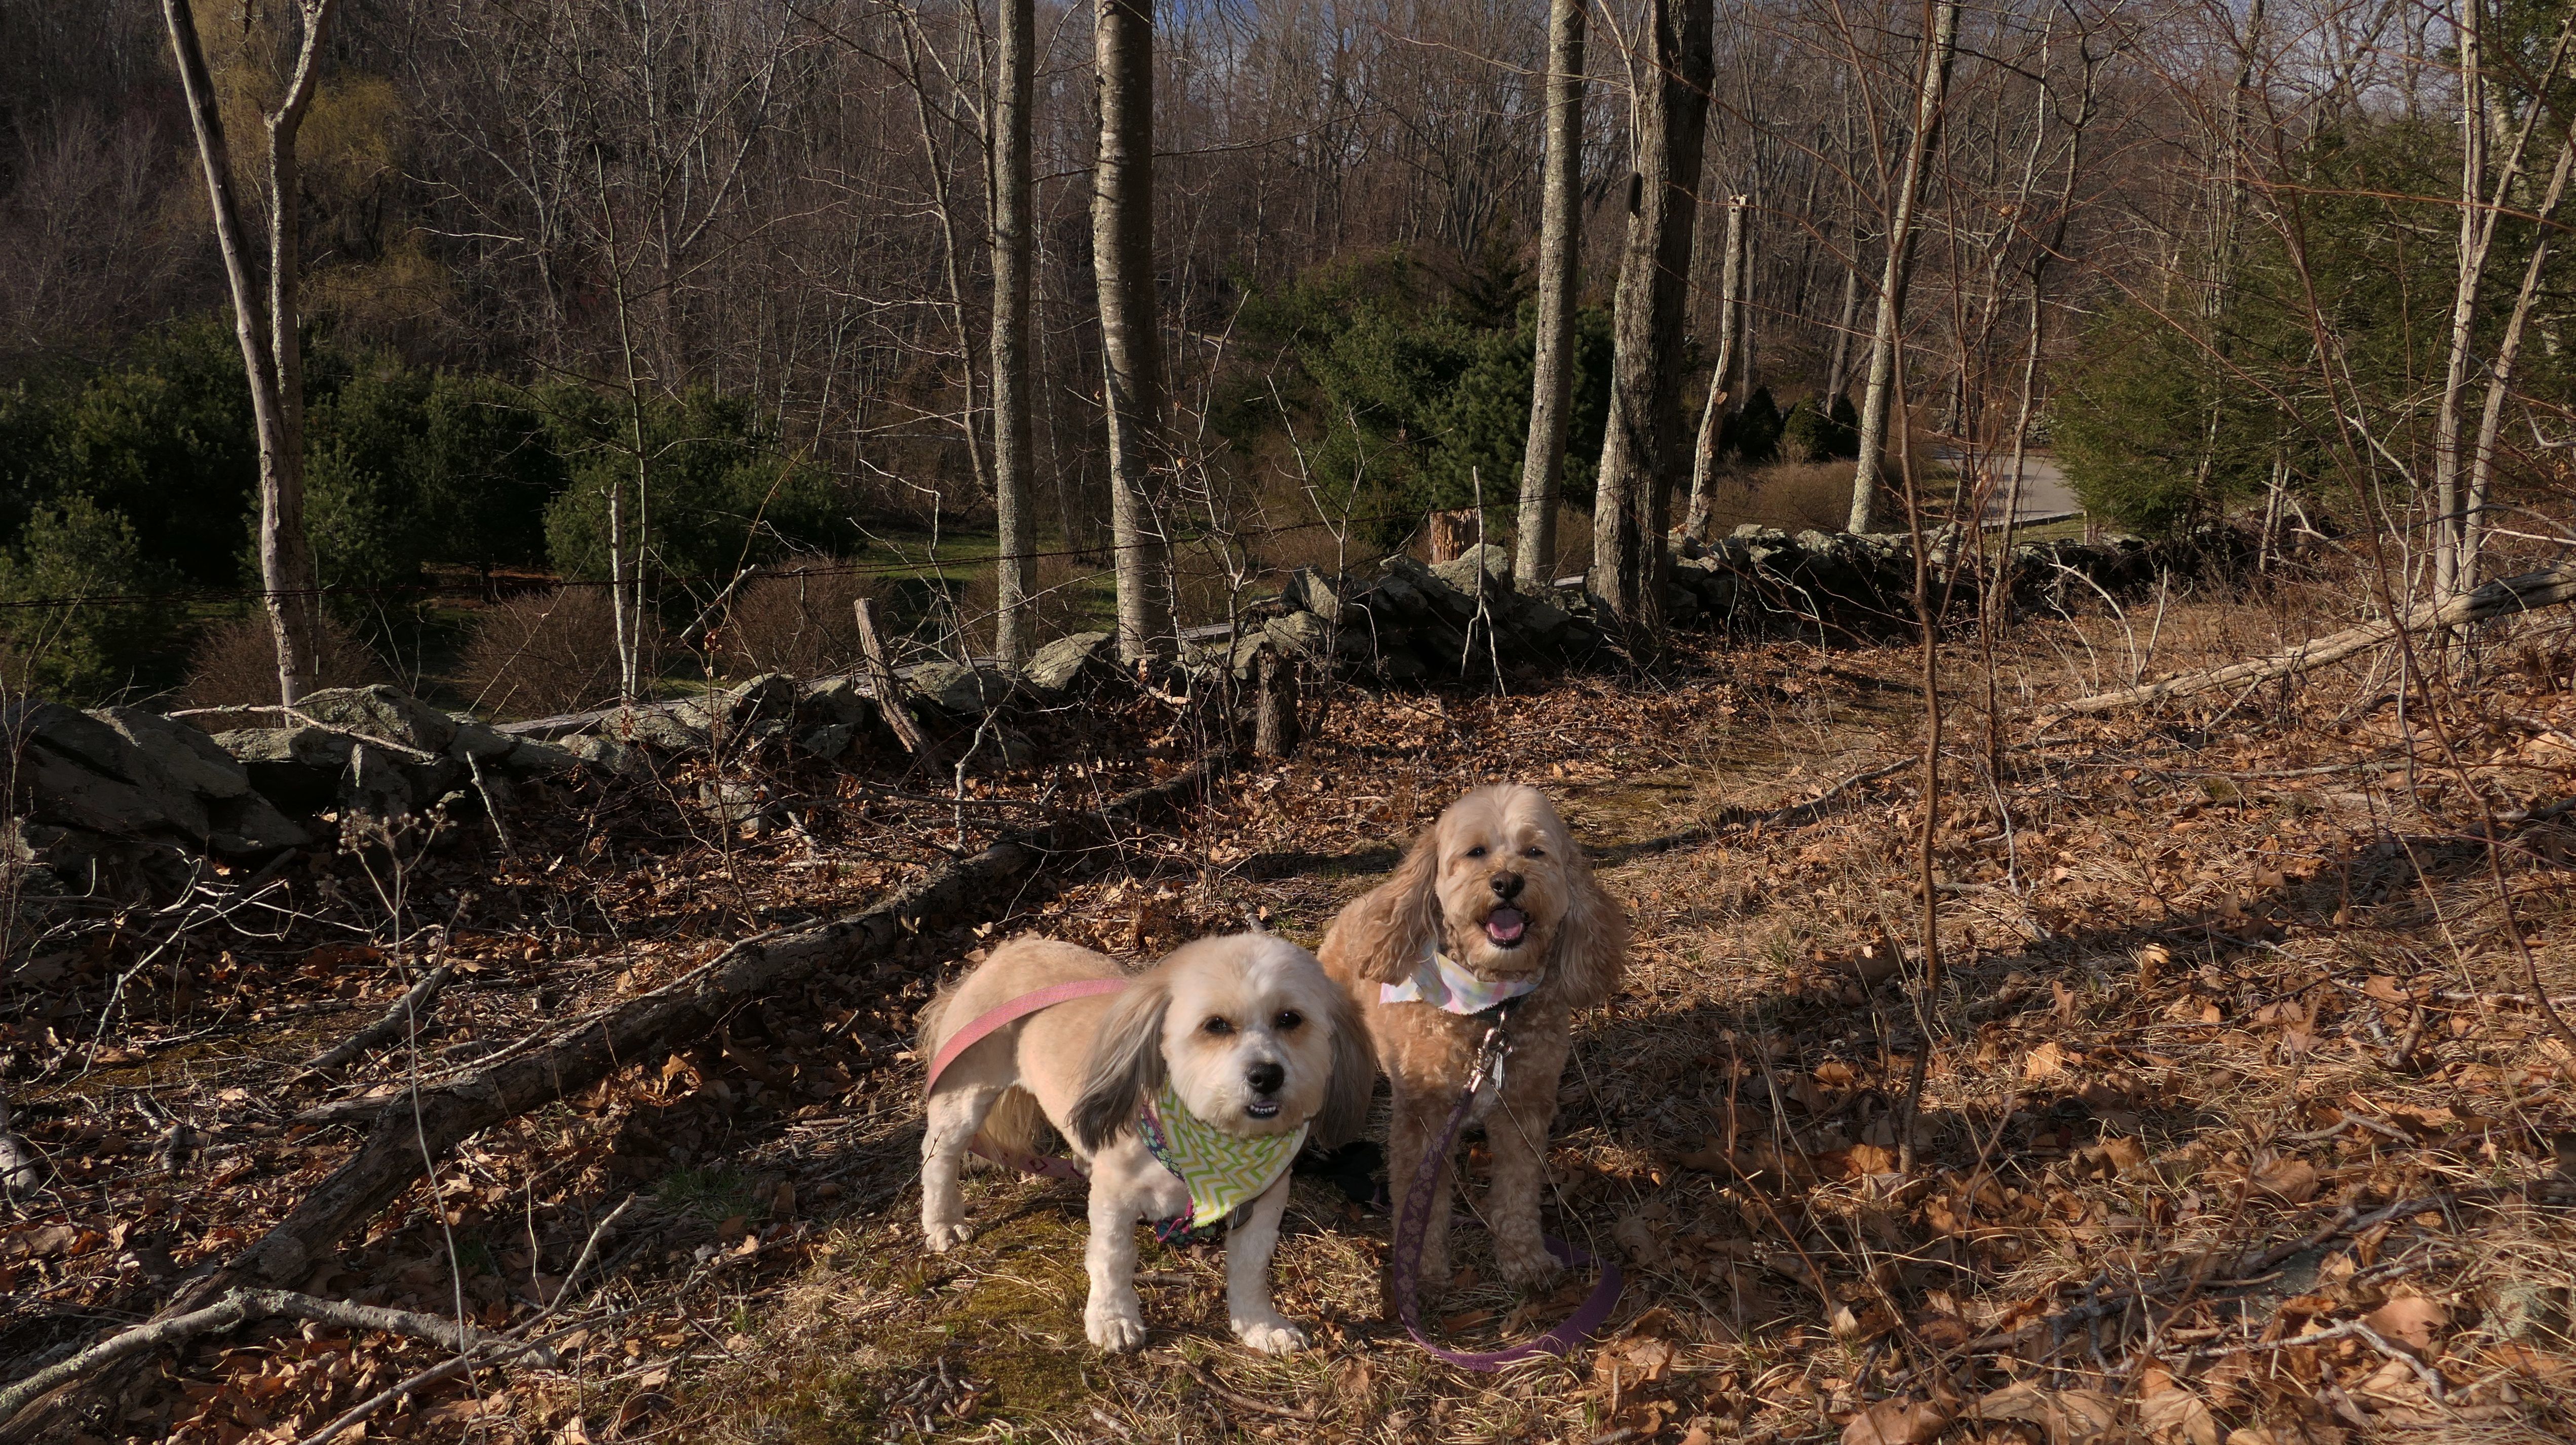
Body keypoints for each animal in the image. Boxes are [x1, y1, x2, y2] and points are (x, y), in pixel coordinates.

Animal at [917, 932, 1369, 1353]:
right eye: (1216, 1024)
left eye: (1290, 1018)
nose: (1266, 1075)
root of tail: (1005, 951)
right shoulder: (1114, 1199)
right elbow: (1113, 1258)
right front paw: (1112, 1318)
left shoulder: (1263, 1203)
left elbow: (1250, 1265)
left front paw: (1259, 1325)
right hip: (965, 1097)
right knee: (938, 1156)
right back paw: (943, 1221)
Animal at [1318, 784, 1625, 1297]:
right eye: (1475, 852)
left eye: (1534, 852)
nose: (1507, 882)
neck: (1488, 1009)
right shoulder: (1422, 1120)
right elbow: (1421, 1203)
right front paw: (1421, 1268)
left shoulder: (1522, 1111)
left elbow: (1517, 1193)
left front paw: (1524, 1259)